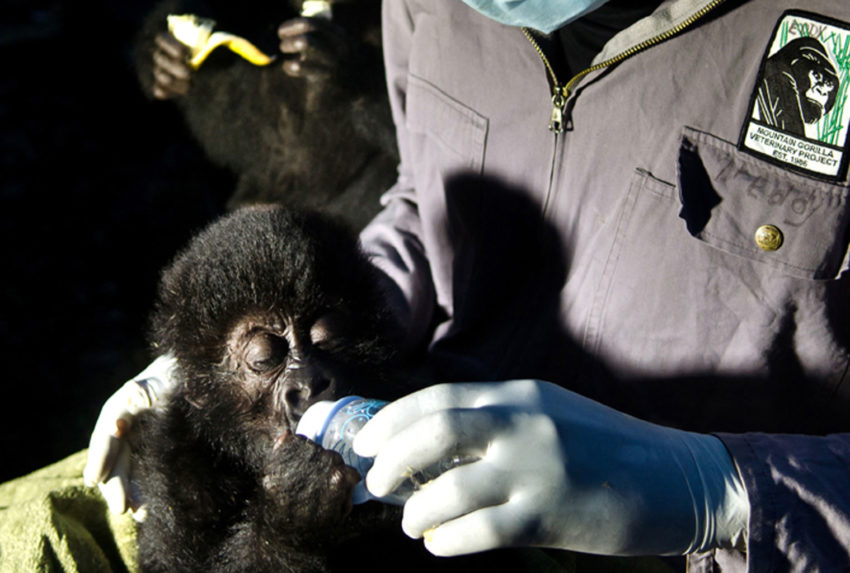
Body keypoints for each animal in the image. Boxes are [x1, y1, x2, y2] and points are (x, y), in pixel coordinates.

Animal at [132, 207, 410, 572]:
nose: (309, 386)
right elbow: (169, 564)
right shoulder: (173, 468)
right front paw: (293, 511)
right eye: (263, 358)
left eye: (328, 335)